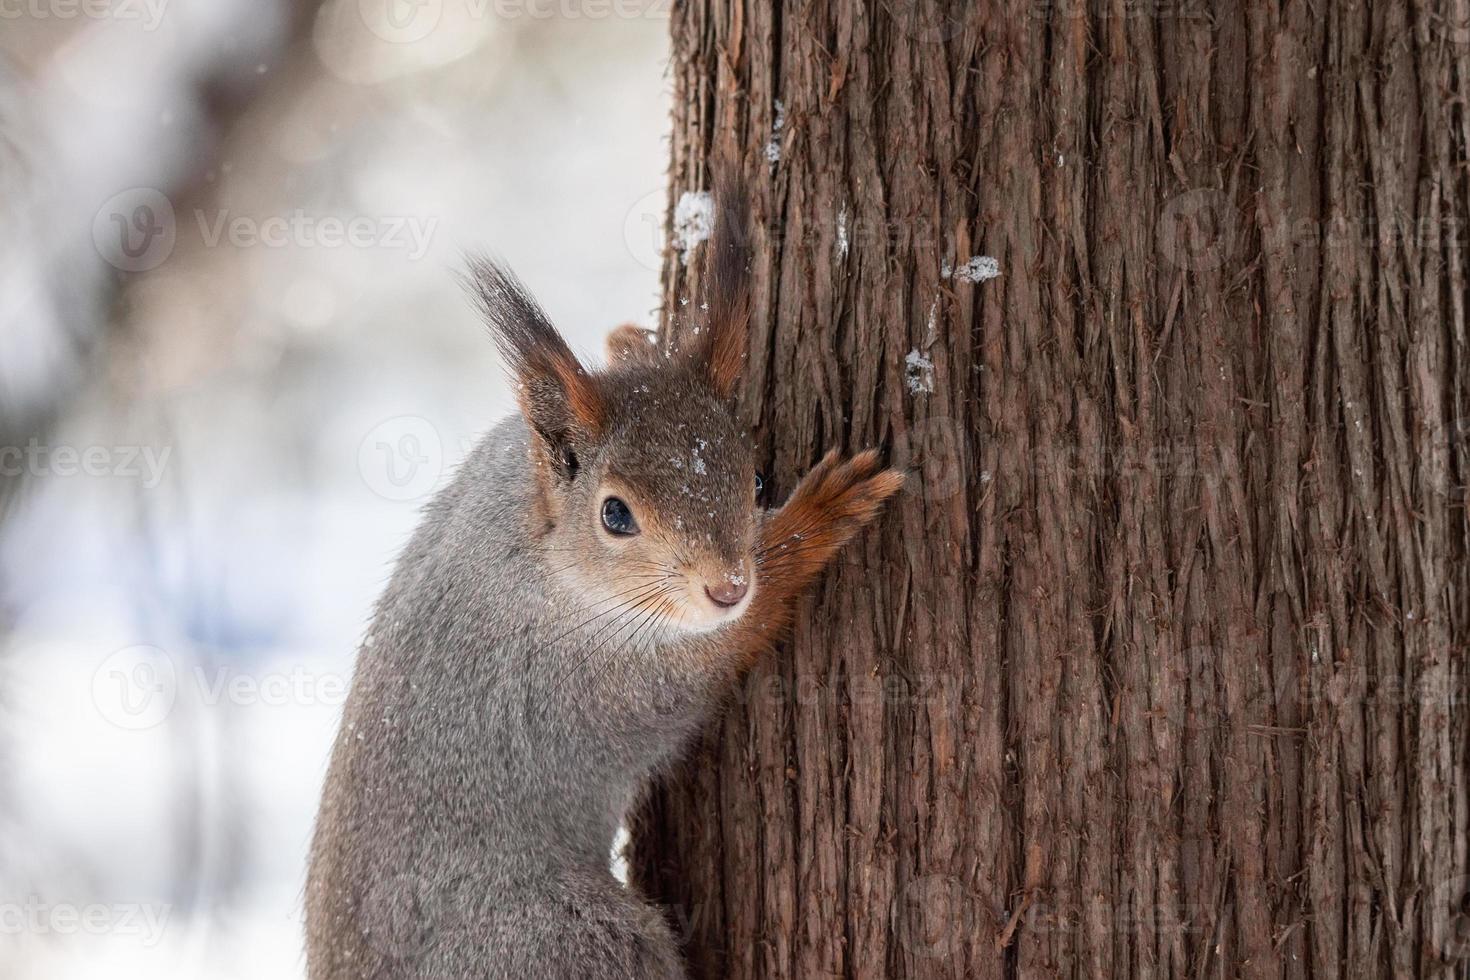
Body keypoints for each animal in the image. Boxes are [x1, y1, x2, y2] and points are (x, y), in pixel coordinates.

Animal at [304, 185, 899, 980]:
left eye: (754, 478)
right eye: (615, 514)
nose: (726, 586)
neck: (542, 555)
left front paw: (633, 340)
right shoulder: (619, 669)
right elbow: (731, 638)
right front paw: (821, 515)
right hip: (562, 944)